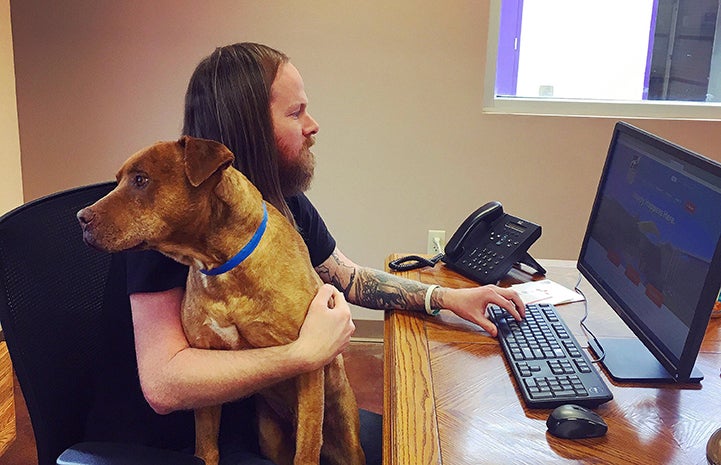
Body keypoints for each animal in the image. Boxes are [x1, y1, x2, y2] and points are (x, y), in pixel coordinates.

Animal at [77, 135, 366, 464]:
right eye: (118, 181)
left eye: (141, 179)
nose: (81, 218)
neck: (221, 265)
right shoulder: (205, 374)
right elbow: (206, 445)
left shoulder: (310, 367)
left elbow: (307, 447)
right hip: (269, 435)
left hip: (345, 434)